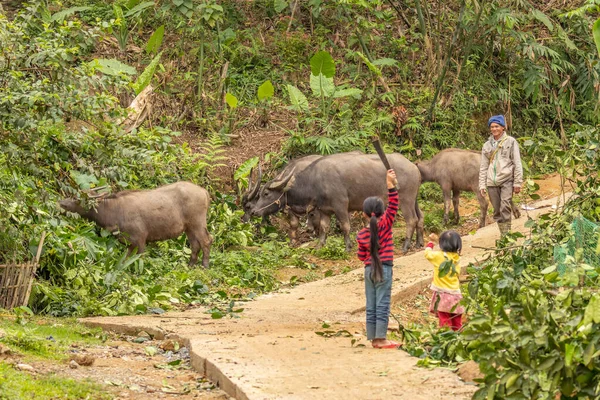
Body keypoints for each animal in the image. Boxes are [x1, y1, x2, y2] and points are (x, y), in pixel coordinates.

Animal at [58, 183, 212, 268]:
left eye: (78, 199)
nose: (61, 203)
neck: (113, 210)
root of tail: (204, 191)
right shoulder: (129, 243)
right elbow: (126, 260)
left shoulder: (141, 239)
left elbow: (140, 259)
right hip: (189, 228)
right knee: (195, 245)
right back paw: (190, 265)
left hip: (198, 223)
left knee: (206, 240)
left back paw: (204, 266)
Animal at [251, 152, 424, 252]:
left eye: (266, 193)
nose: (254, 211)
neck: (314, 181)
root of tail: (413, 166)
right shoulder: (324, 210)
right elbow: (324, 227)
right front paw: (320, 246)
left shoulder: (341, 206)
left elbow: (345, 226)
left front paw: (348, 246)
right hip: (414, 199)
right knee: (420, 217)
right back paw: (419, 243)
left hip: (405, 199)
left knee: (411, 220)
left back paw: (405, 246)